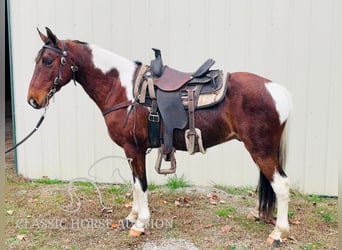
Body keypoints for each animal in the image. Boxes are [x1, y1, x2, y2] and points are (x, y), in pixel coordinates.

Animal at [28, 27, 292, 246]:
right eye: (37, 60)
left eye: (48, 61)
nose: (32, 100)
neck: (122, 89)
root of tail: (279, 91)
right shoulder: (132, 151)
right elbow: (135, 184)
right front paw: (131, 217)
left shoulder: (133, 148)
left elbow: (141, 185)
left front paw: (140, 224)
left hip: (261, 150)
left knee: (281, 185)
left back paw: (278, 233)